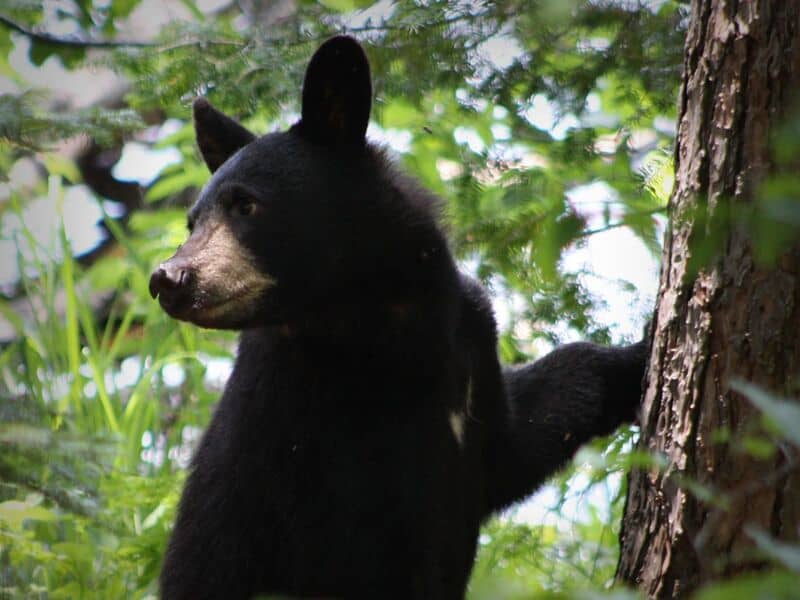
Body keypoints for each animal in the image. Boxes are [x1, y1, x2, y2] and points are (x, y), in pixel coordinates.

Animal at [150, 36, 648, 600]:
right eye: (193, 221)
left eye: (245, 205)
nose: (169, 278)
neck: (380, 329)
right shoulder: (293, 414)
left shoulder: (469, 353)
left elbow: (524, 437)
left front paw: (638, 354)